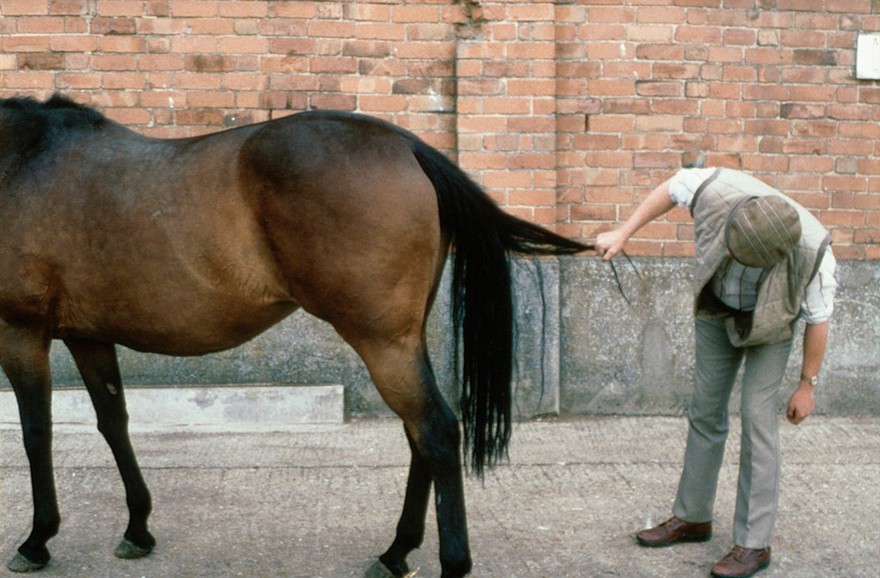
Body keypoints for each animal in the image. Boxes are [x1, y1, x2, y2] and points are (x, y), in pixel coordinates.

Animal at [0, 94, 591, 577]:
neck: (23, 161)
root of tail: (408, 146)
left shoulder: (20, 333)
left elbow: (36, 434)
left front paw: (36, 540)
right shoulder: (88, 336)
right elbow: (113, 423)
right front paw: (137, 529)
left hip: (382, 342)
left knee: (437, 431)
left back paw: (446, 561)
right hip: (403, 342)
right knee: (418, 433)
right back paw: (396, 553)